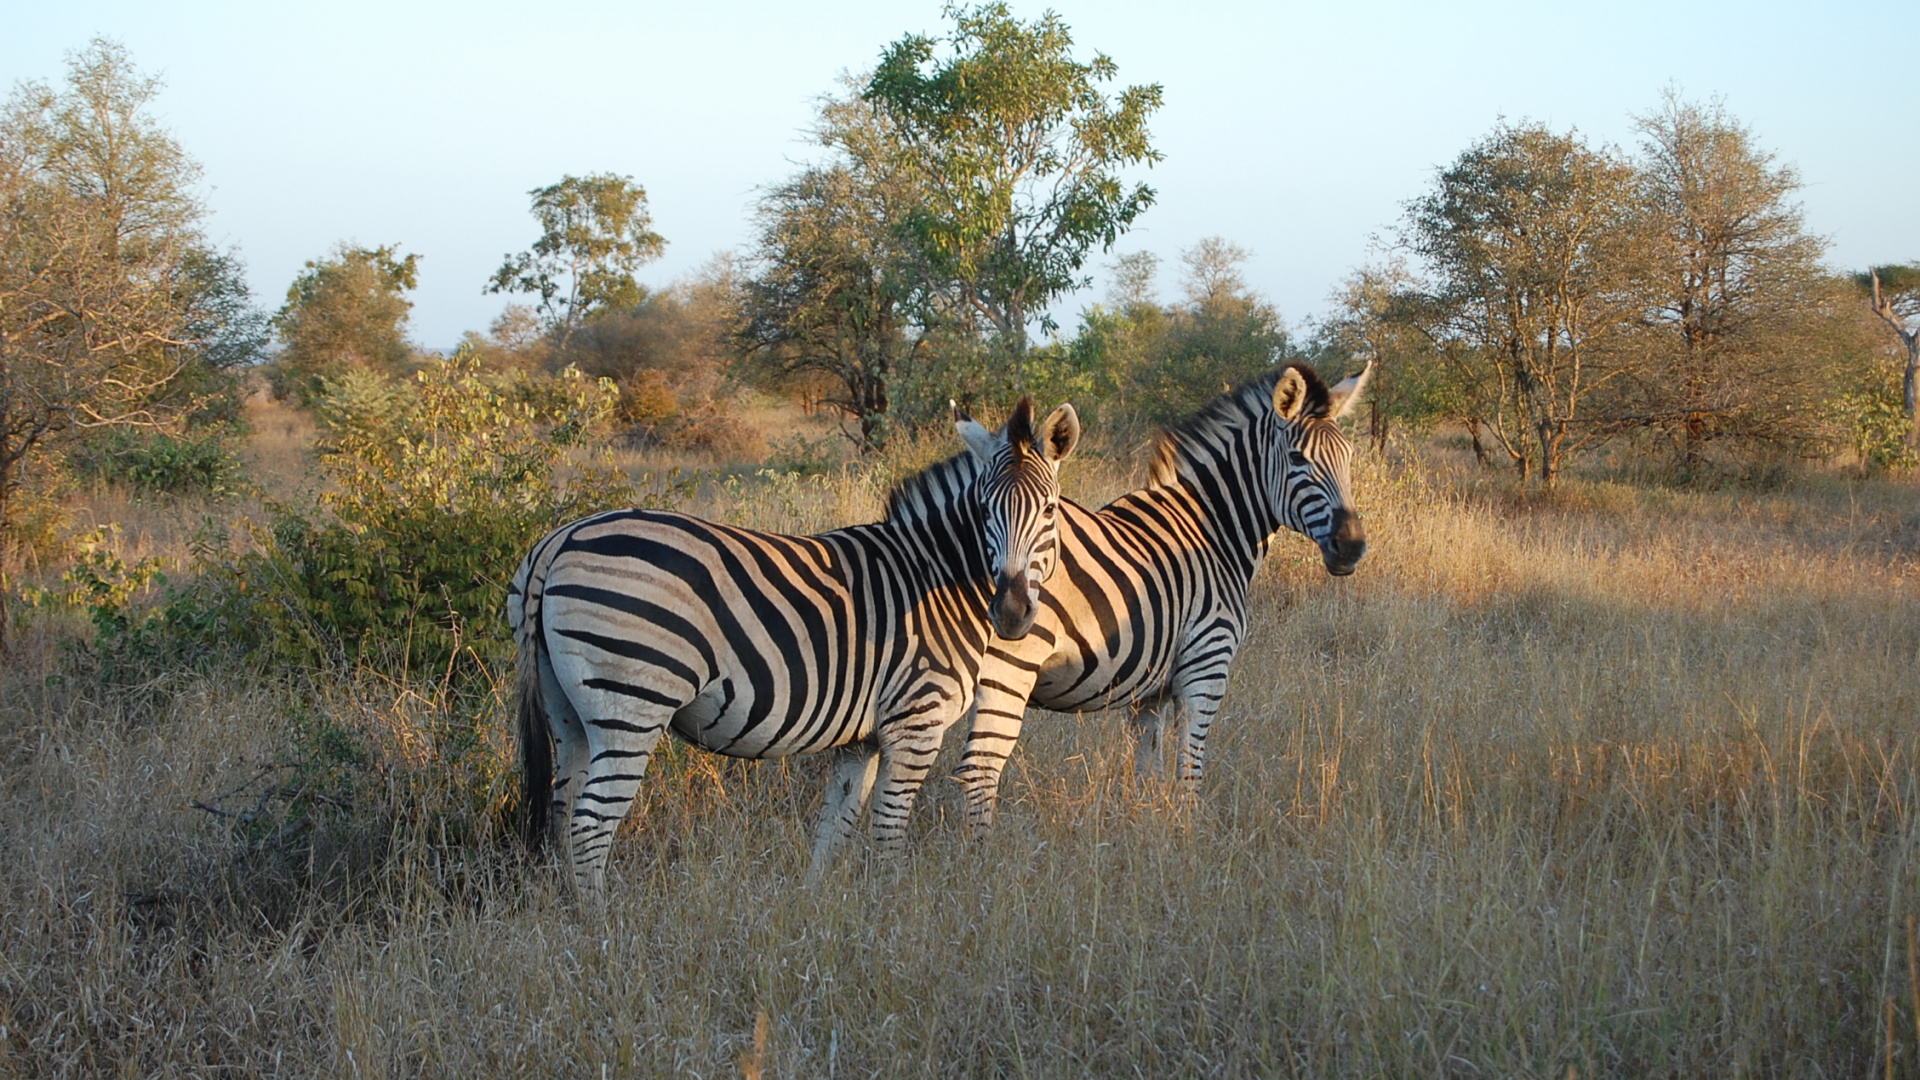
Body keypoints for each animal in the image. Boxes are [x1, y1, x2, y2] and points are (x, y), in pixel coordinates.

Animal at [510, 395, 1082, 891]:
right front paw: (893, 907)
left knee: (562, 812)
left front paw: (820, 907)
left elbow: (835, 827)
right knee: (590, 824)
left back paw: (564, 914)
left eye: (1049, 511)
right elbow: (888, 830)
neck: (936, 574)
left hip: (568, 710)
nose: (1010, 614)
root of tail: (559, 539)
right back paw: (601, 926)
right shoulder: (915, 721)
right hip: (631, 703)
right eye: (984, 511)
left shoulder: (862, 738)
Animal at [940, 361, 1367, 834]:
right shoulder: (1206, 665)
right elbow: (1189, 771)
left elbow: (1148, 772)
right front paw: (1188, 836)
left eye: (1349, 458)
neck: (1212, 531)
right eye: (1297, 460)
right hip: (1008, 667)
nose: (1352, 547)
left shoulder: (1149, 691)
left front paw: (1147, 833)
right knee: (978, 770)